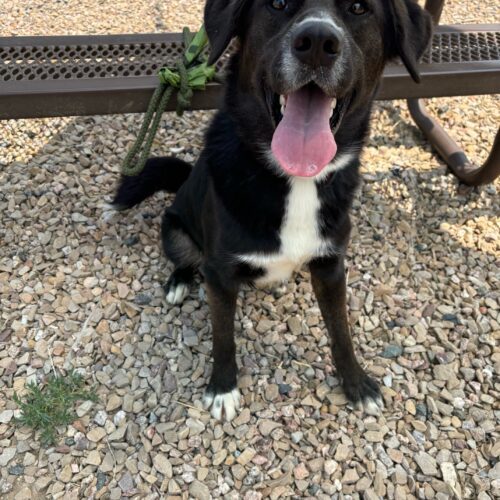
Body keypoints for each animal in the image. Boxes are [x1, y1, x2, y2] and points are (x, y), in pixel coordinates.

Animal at [112, 0, 430, 420]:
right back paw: (179, 282)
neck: (296, 180)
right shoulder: (220, 273)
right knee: (185, 259)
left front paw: (356, 383)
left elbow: (340, 330)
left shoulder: (331, 265)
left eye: (360, 8)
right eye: (277, 4)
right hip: (175, 229)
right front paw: (222, 388)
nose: (317, 43)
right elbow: (223, 336)